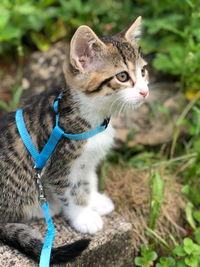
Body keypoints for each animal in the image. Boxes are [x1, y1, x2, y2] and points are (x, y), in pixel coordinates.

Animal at [0, 17, 148, 266]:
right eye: (122, 76)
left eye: (143, 71)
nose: (145, 92)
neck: (92, 118)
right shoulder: (57, 167)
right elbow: (71, 192)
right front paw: (84, 217)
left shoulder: (87, 160)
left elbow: (88, 181)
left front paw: (95, 201)